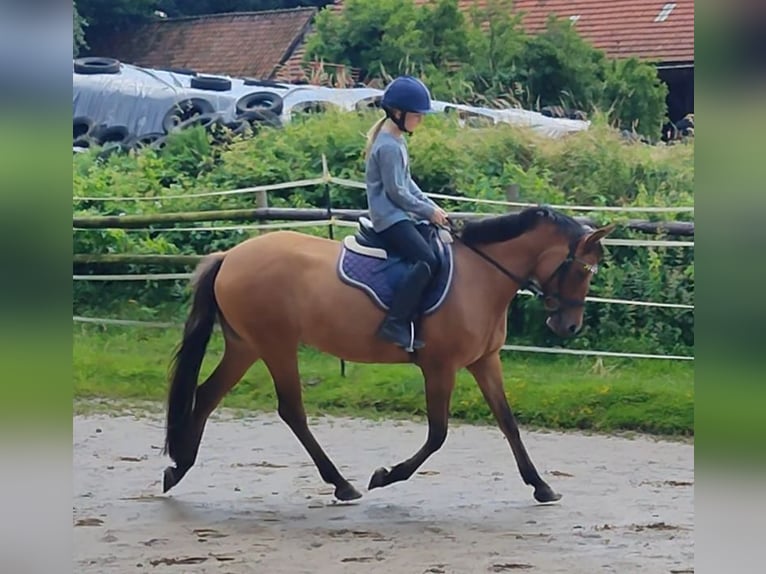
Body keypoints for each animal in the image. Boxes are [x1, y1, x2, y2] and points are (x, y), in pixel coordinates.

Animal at [164, 206, 616, 504]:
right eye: (581, 270)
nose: (569, 327)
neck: (481, 276)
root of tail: (230, 257)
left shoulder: (484, 361)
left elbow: (509, 423)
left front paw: (541, 486)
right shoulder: (440, 367)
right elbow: (438, 434)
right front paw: (386, 476)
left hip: (247, 346)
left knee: (207, 395)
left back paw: (179, 467)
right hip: (275, 345)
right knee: (291, 410)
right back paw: (342, 485)